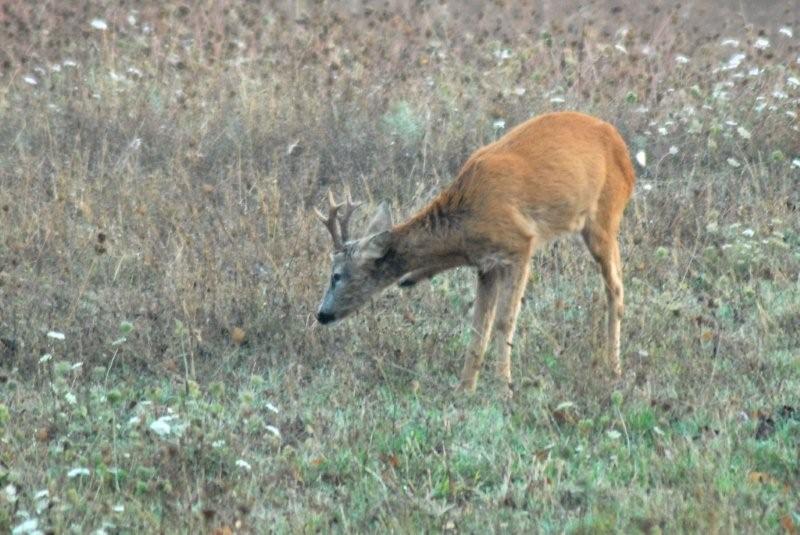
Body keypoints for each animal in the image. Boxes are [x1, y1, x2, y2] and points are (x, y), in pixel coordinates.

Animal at [316, 111, 636, 398]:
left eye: (336, 275)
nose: (321, 314)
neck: (465, 221)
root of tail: (621, 145)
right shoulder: (485, 265)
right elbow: (479, 325)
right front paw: (465, 389)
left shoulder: (520, 245)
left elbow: (504, 321)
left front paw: (504, 388)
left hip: (604, 217)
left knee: (616, 290)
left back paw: (614, 369)